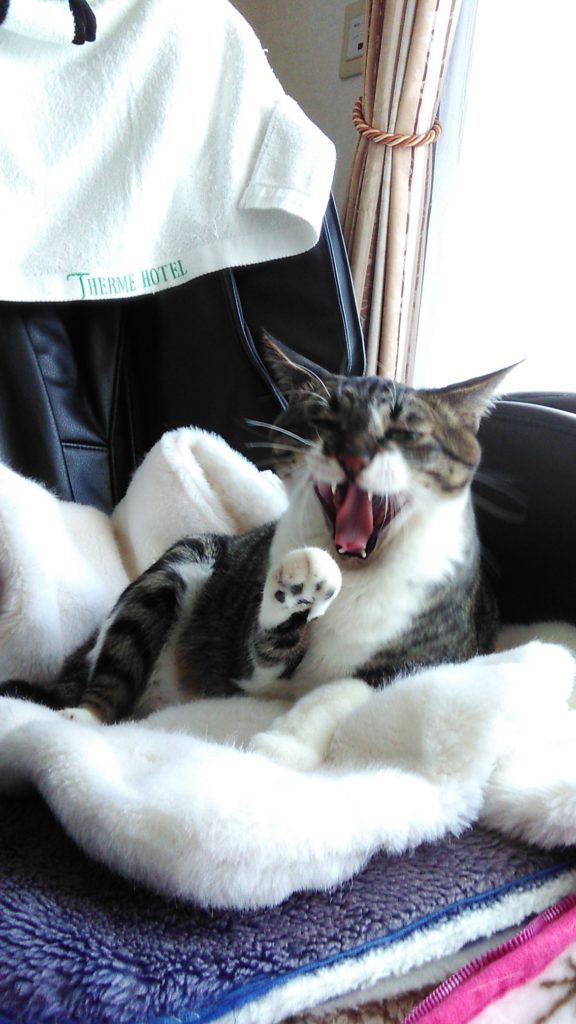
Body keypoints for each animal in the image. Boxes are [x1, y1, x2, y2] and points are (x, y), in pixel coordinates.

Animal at [3, 333, 512, 728]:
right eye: (323, 421)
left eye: (404, 433)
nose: (352, 453)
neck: (355, 572)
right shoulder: (254, 665)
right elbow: (264, 648)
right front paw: (296, 593)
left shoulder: (416, 663)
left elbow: (342, 693)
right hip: (173, 569)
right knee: (116, 658)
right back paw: (81, 716)